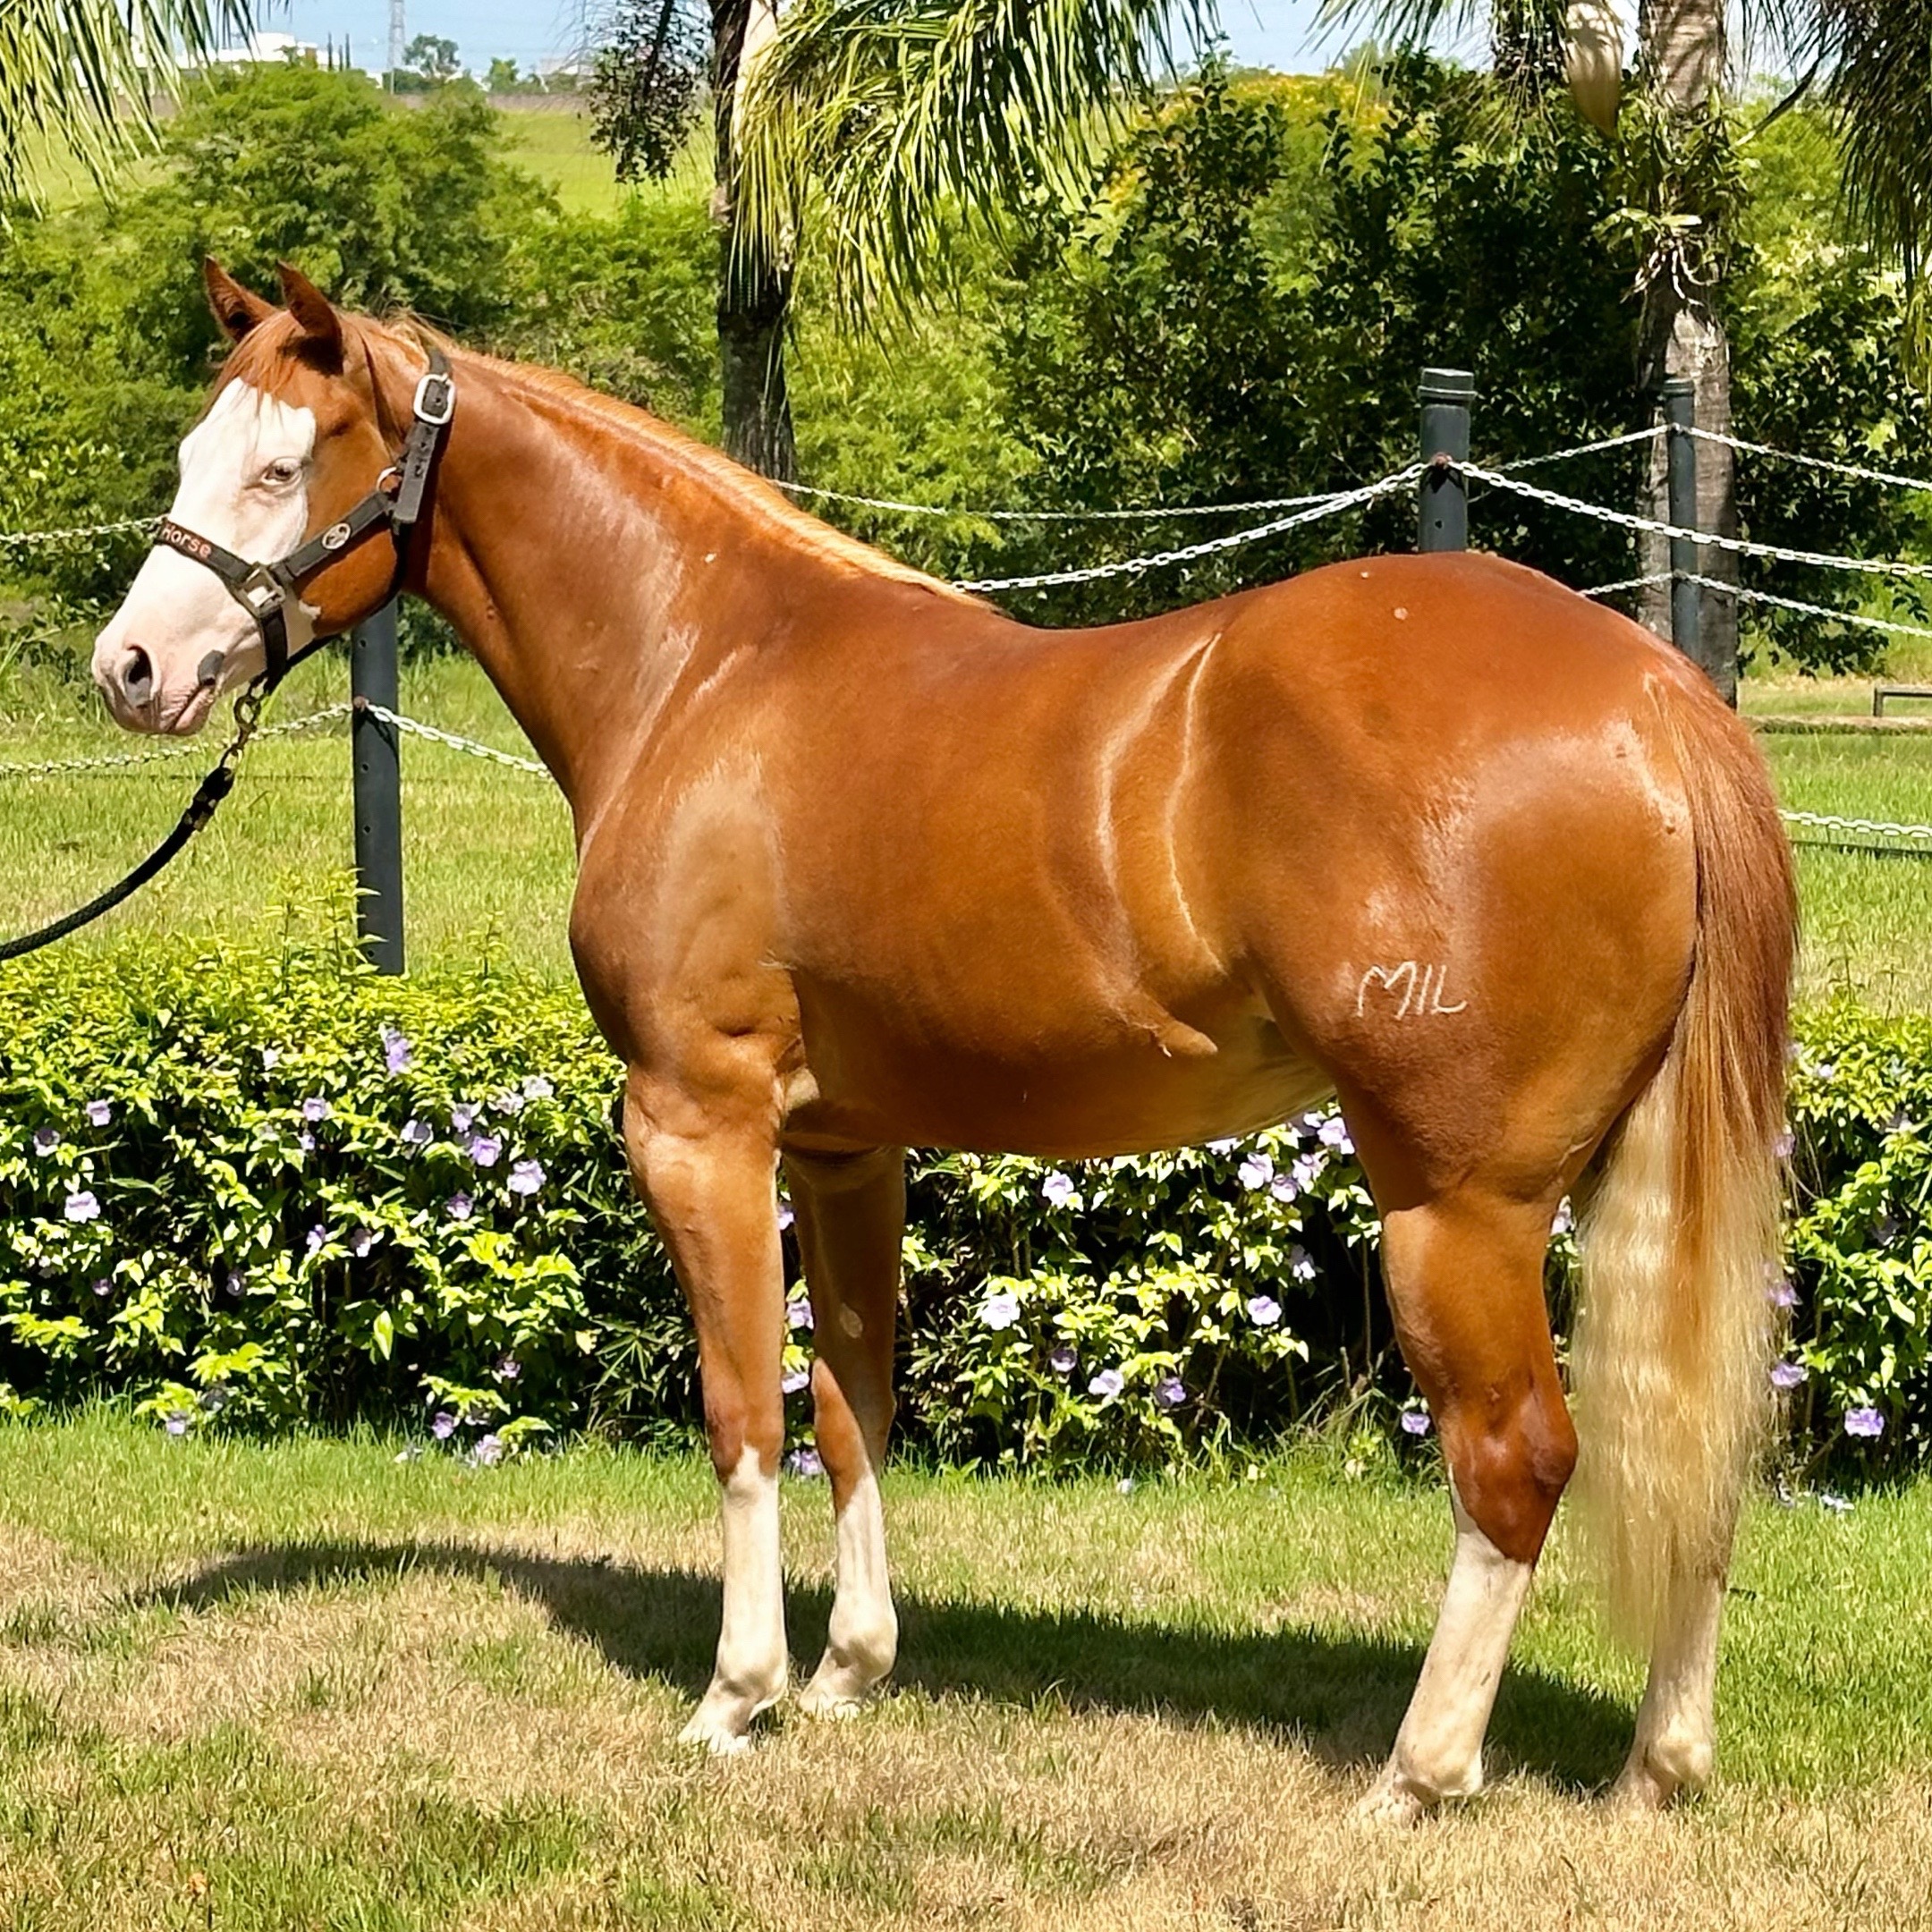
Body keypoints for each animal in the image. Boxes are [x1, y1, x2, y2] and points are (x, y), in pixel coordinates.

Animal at [91, 261, 1795, 1818]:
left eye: (284, 463)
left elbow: (739, 1407)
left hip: (1457, 1205)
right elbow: (854, 1397)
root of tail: (1654, 696)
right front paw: (850, 1671)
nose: (131, 670)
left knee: (1517, 1459)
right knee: (1694, 1444)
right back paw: (1660, 1765)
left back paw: (1420, 1773)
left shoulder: (696, 1120)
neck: (707, 665)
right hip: (1635, 1174)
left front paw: (739, 1695)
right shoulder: (846, 1145)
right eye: (192, 448)